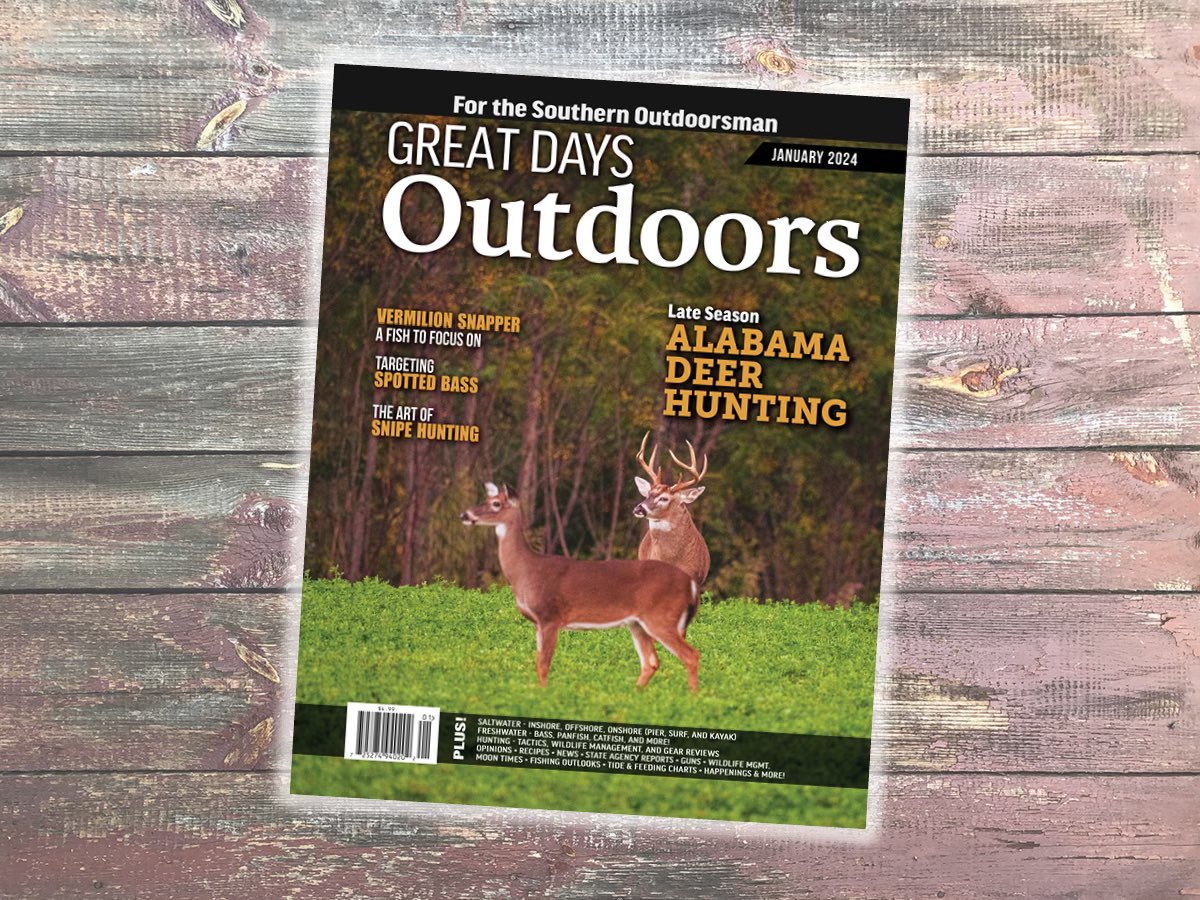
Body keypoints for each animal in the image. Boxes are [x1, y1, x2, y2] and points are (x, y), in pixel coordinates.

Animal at [461, 482, 701, 691]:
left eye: (496, 504)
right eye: (486, 499)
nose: (465, 515)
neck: (526, 570)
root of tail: (690, 584)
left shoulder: (550, 616)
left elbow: (544, 664)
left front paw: (542, 696)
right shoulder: (537, 623)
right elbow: (538, 662)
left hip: (661, 617)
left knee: (691, 655)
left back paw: (692, 698)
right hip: (638, 623)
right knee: (651, 662)